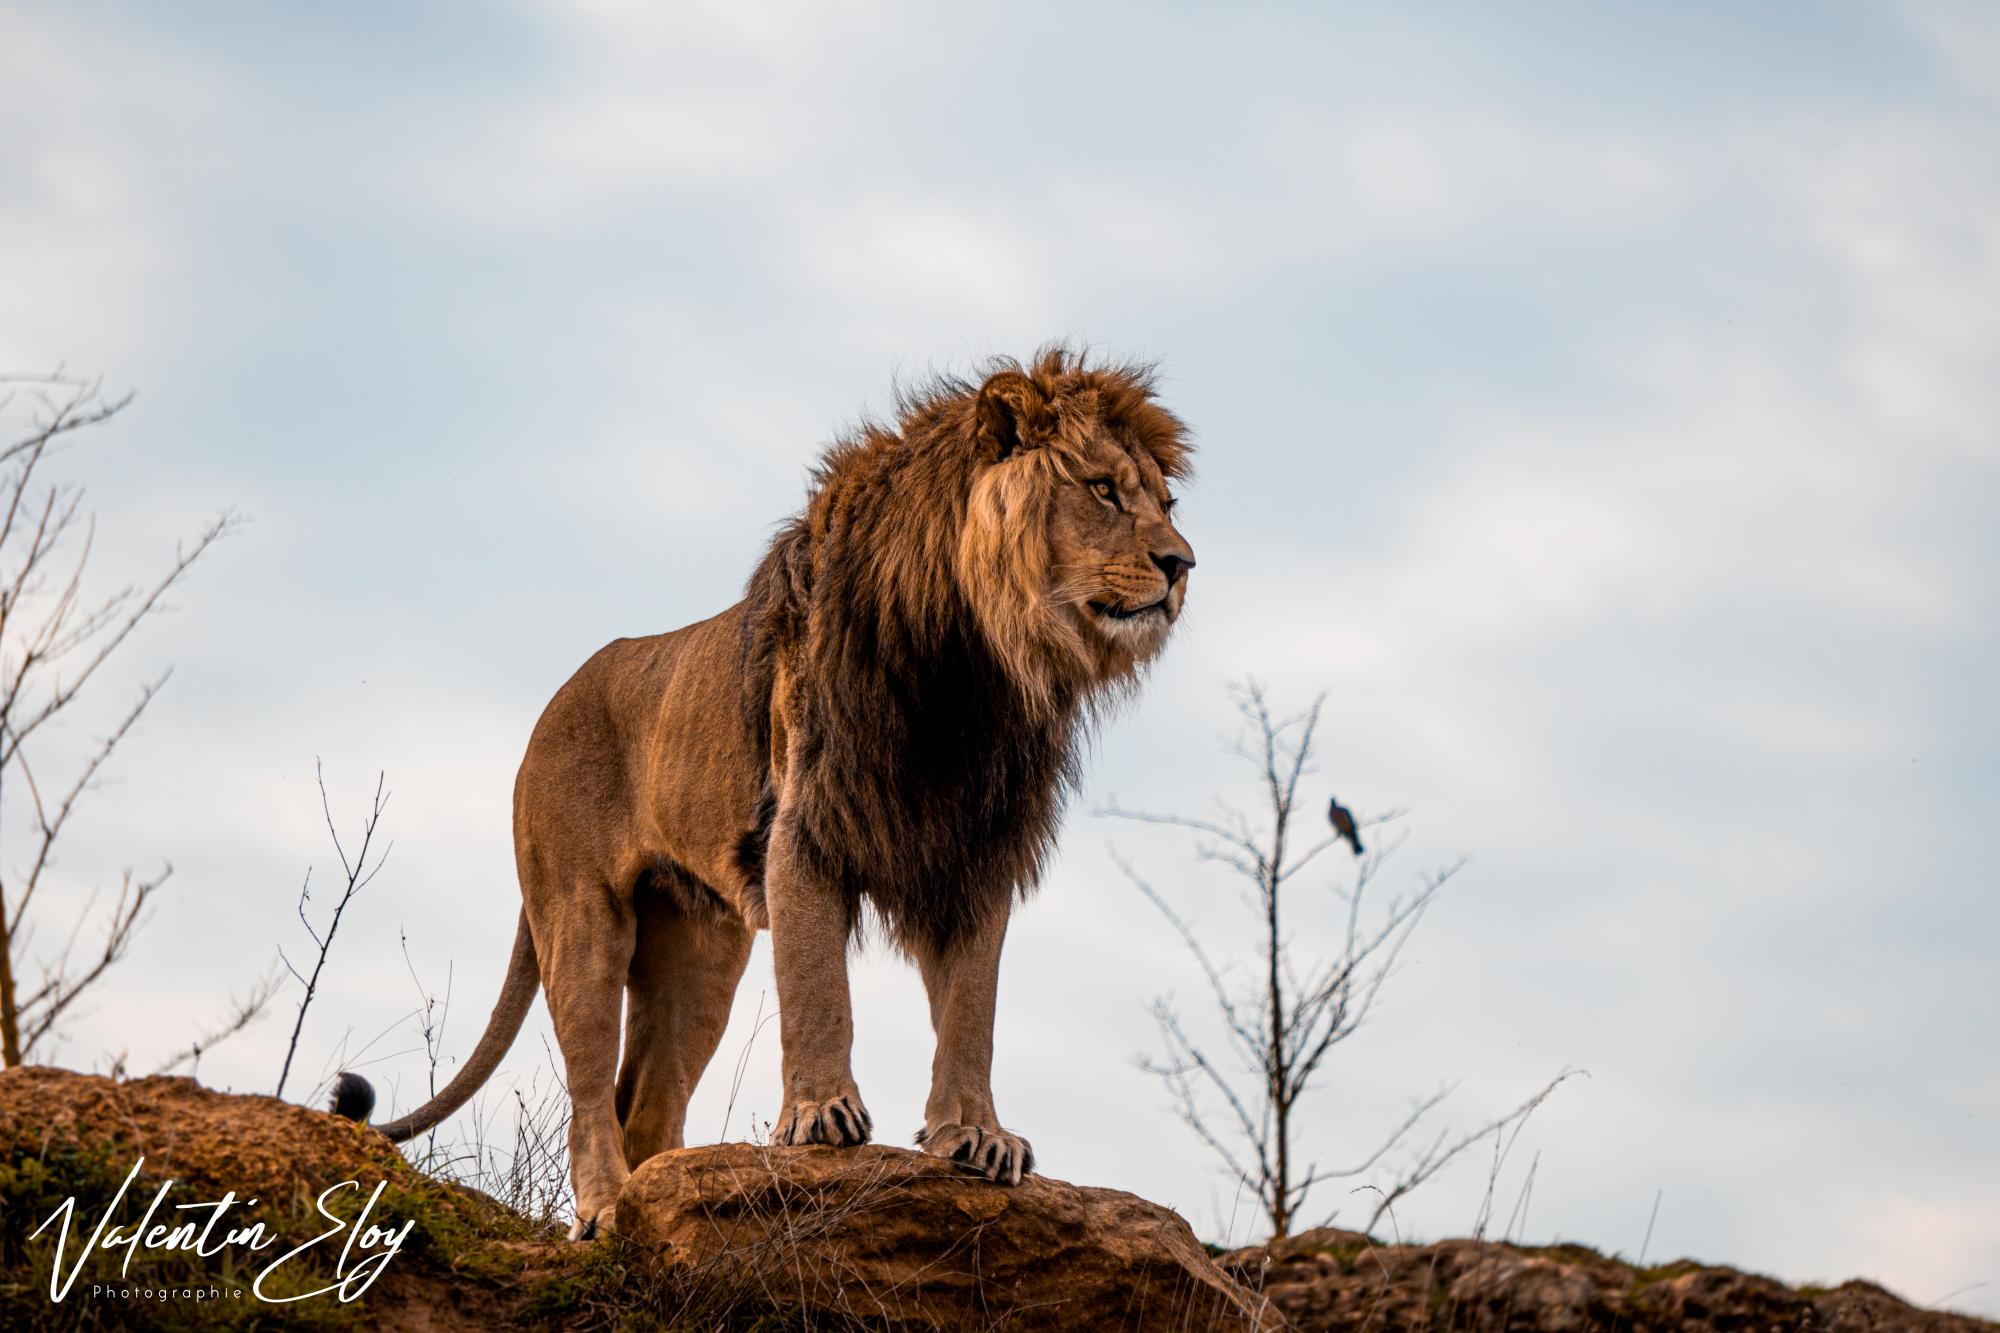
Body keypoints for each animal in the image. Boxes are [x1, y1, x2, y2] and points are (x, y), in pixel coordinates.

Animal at [337, 347, 1196, 1238]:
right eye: (1103, 489)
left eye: (1165, 503)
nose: (1183, 565)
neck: (972, 667)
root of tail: (552, 704)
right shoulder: (807, 826)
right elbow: (819, 984)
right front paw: (821, 1116)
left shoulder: (974, 853)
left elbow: (971, 1009)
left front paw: (976, 1135)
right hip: (581, 915)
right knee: (589, 1090)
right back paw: (605, 1210)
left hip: (700, 955)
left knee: (645, 1100)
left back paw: (661, 1200)